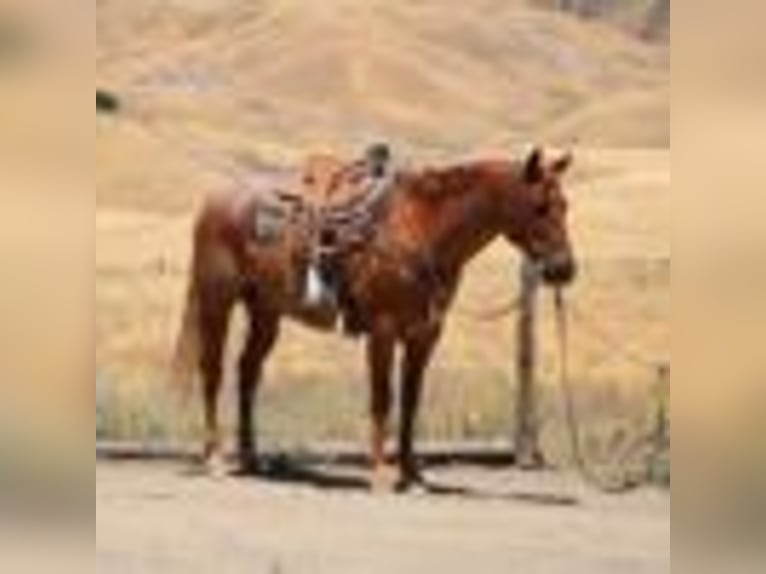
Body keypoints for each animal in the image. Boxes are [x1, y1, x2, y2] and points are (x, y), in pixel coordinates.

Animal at [172, 146, 576, 490]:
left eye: (565, 205)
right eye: (540, 206)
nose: (564, 269)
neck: (421, 229)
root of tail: (214, 200)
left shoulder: (425, 334)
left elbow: (411, 401)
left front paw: (413, 475)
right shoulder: (383, 330)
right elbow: (383, 397)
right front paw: (381, 473)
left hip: (265, 311)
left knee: (247, 372)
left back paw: (251, 458)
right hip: (217, 302)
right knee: (213, 371)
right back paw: (216, 459)